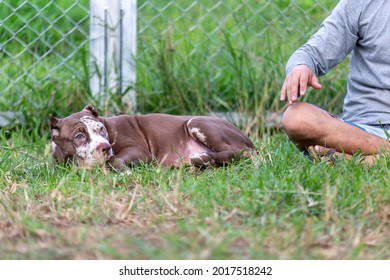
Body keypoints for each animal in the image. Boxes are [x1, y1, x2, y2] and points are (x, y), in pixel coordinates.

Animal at [48, 105, 254, 170]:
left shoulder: (140, 151)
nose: (105, 147)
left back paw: (204, 158)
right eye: (79, 136)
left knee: (234, 152)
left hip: (198, 123)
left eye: (101, 129)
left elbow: (115, 160)